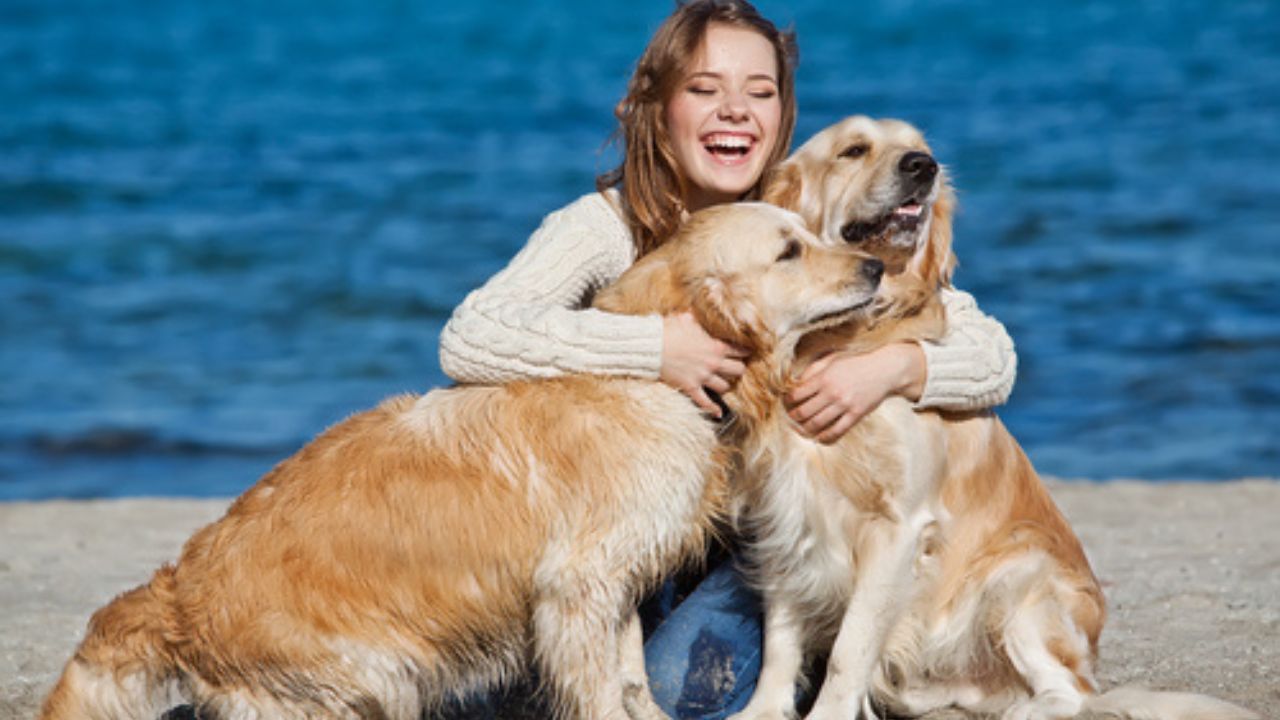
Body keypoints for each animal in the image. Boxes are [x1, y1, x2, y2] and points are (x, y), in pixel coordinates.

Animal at [37, 202, 880, 717]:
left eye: (808, 232)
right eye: (790, 250)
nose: (874, 265)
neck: (648, 375)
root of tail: (176, 594)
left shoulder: (607, 585)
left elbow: (633, 678)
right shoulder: (576, 587)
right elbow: (603, 692)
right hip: (365, 676)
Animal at [721, 117, 1259, 717]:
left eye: (921, 150)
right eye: (853, 150)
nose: (922, 168)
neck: (838, 336)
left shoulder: (900, 525)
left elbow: (849, 649)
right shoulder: (787, 513)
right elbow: (780, 641)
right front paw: (762, 710)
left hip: (1019, 576)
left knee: (1071, 696)